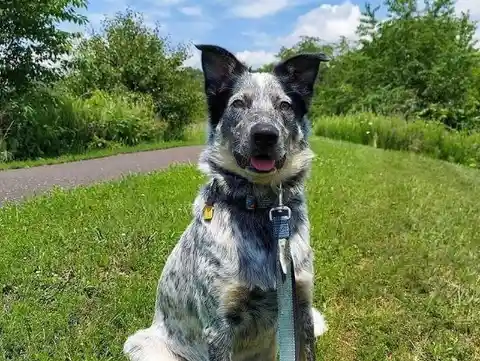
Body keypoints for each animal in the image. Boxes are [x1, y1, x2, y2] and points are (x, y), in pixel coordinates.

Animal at [123, 43, 330, 358]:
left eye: (284, 105)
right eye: (238, 104)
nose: (265, 135)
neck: (262, 209)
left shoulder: (301, 308)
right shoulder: (219, 326)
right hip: (142, 345)